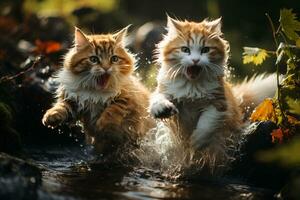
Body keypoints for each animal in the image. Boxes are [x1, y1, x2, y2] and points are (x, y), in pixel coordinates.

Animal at [42, 26, 155, 154]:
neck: (96, 91)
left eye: (114, 59)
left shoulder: (128, 99)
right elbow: (62, 107)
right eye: (94, 59)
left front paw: (102, 124)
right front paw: (51, 116)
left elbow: (113, 109)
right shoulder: (74, 101)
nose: (106, 68)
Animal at [150, 16, 276, 171]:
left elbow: (206, 123)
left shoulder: (219, 103)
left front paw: (197, 141)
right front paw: (161, 109)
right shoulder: (166, 91)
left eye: (205, 50)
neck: (193, 86)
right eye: (185, 49)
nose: (195, 60)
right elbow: (158, 99)